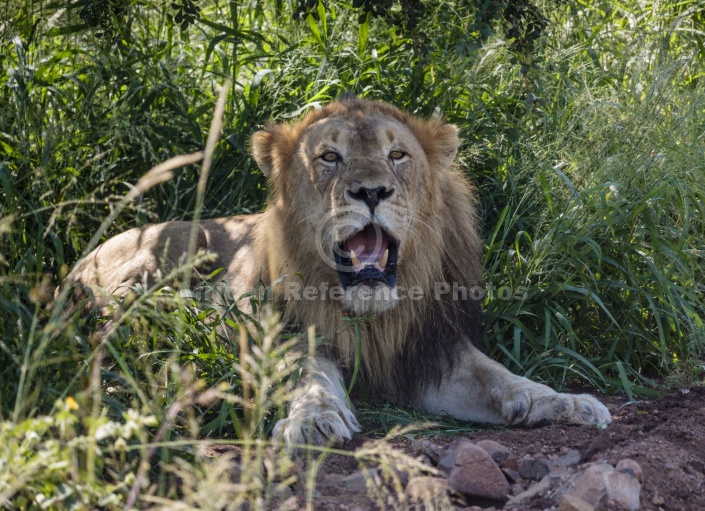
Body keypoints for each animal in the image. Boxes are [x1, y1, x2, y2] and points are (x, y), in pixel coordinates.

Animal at [66, 96, 612, 448]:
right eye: (329, 156)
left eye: (397, 155)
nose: (371, 191)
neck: (370, 315)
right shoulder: (288, 333)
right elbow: (310, 374)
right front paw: (315, 419)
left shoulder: (429, 353)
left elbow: (500, 377)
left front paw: (566, 402)